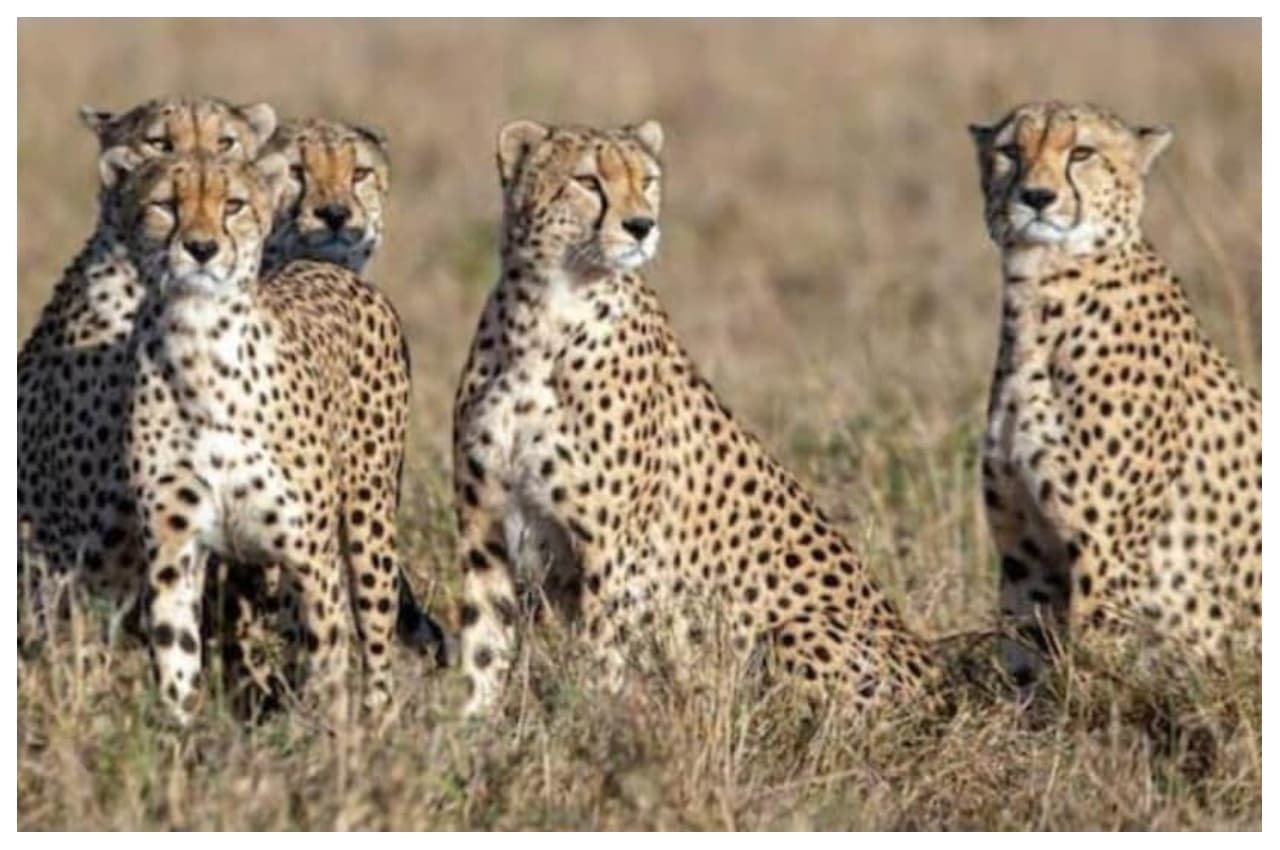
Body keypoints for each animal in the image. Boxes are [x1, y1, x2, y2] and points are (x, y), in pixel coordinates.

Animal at [114, 149, 410, 726]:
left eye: (233, 205)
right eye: (165, 205)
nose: (201, 248)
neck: (200, 346)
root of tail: (325, 266)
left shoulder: (310, 554)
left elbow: (328, 662)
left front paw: (329, 743)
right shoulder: (172, 548)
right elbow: (177, 657)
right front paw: (182, 737)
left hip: (368, 524)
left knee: (376, 646)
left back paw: (380, 724)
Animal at [451, 119, 940, 718]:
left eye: (647, 180)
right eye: (588, 181)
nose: (642, 225)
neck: (544, 315)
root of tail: (940, 680)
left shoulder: (612, 552)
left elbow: (599, 661)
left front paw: (591, 726)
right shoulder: (485, 529)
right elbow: (481, 649)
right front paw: (469, 730)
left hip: (795, 631)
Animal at [968, 100, 1262, 688]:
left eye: (1081, 152)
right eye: (1010, 151)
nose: (1036, 197)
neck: (1041, 294)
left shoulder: (1107, 558)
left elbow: (1093, 673)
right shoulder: (1025, 556)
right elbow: (1024, 661)